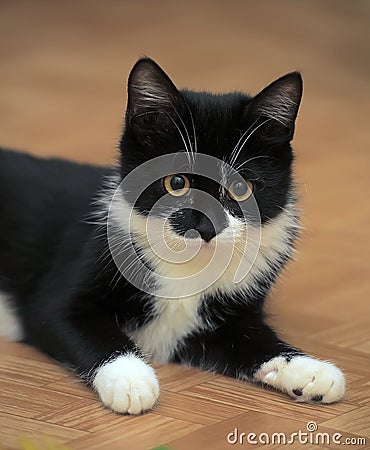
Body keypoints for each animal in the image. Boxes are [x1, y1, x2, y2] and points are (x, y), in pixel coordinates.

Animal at [0, 58, 344, 414]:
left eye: (241, 187)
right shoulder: (63, 286)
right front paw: (130, 379)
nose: (206, 226)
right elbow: (67, 318)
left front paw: (309, 370)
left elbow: (255, 339)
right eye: (176, 183)